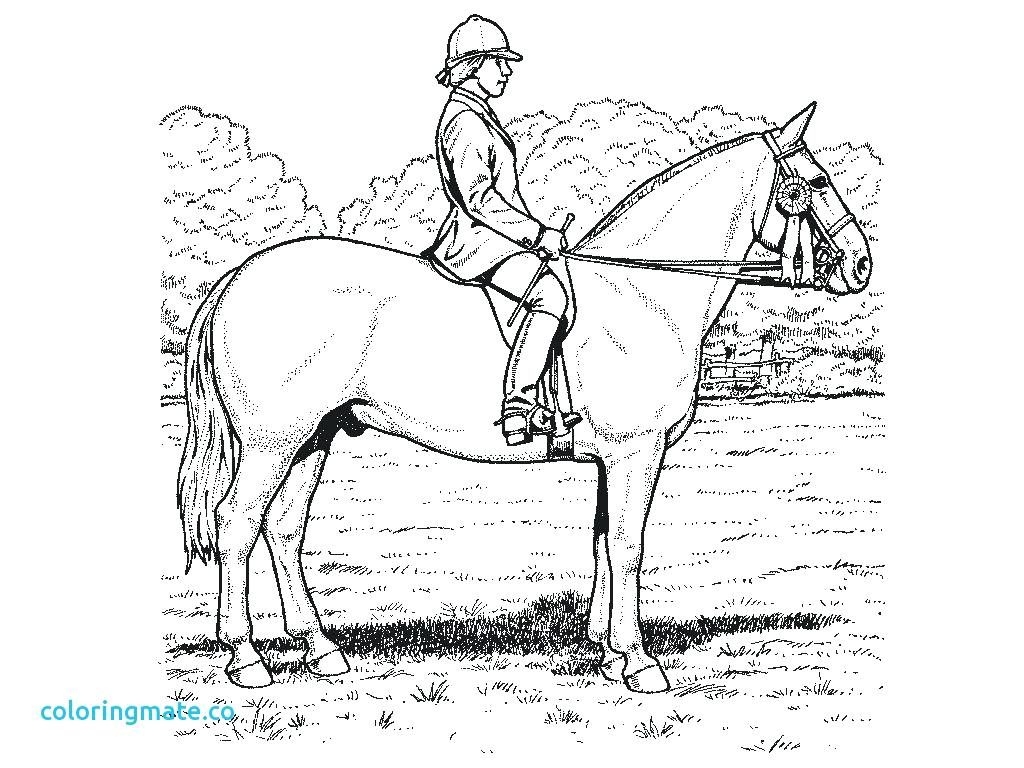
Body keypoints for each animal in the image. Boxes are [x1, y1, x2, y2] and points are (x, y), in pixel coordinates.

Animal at [176, 103, 872, 693]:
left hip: (315, 436)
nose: (861, 265)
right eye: (809, 183)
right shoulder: (635, 454)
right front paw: (639, 662)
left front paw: (604, 650)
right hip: (272, 443)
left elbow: (601, 542)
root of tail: (236, 277)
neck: (643, 293)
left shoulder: (610, 460)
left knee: (283, 530)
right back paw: (245, 659)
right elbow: (628, 545)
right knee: (237, 524)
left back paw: (322, 652)